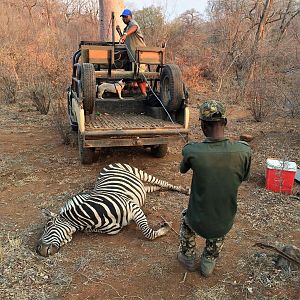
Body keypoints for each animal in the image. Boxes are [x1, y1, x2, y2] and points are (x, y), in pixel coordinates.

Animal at [36, 163, 189, 256]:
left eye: (48, 226)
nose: (38, 251)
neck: (91, 217)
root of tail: (108, 165)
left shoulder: (133, 207)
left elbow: (148, 233)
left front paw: (166, 227)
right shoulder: (112, 228)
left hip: (139, 173)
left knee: (162, 182)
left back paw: (184, 190)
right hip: (141, 188)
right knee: (153, 187)